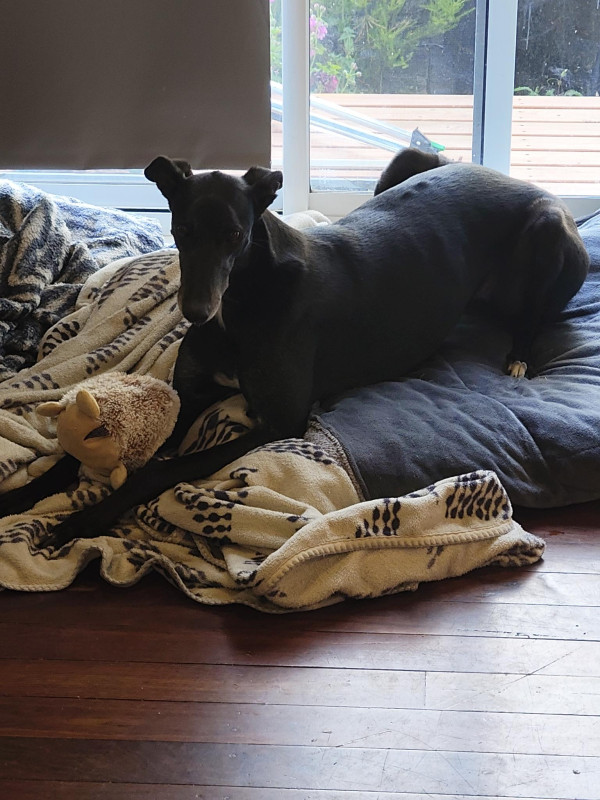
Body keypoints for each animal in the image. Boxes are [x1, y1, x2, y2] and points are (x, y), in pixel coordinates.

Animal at [0, 148, 590, 545]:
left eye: (236, 235)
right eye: (181, 230)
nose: (196, 312)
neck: (242, 303)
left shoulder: (278, 421)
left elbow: (159, 468)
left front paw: (82, 519)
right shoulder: (189, 394)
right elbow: (68, 453)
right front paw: (21, 494)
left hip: (546, 229)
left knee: (536, 316)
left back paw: (520, 357)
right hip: (408, 163)